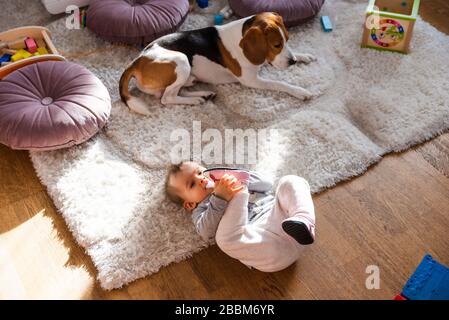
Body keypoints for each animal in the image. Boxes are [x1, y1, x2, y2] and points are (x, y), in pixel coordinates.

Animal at [119, 12, 316, 115]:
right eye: (276, 45)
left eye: (287, 40)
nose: (292, 62)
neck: (242, 33)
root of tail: (137, 61)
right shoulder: (251, 80)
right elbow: (279, 84)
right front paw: (300, 91)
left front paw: (305, 56)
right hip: (182, 61)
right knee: (166, 98)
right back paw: (196, 99)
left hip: (184, 73)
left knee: (172, 91)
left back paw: (204, 93)